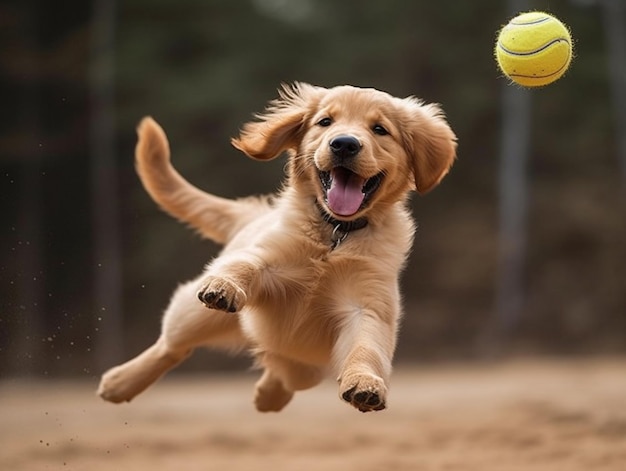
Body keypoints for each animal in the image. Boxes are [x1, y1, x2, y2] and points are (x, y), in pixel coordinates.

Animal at [96, 84, 454, 412]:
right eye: (325, 122)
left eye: (380, 129)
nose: (344, 143)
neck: (335, 234)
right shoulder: (270, 258)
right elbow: (247, 265)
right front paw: (225, 285)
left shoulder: (367, 306)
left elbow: (365, 347)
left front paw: (366, 384)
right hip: (194, 315)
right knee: (172, 346)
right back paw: (119, 382)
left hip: (307, 366)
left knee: (281, 369)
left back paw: (268, 396)